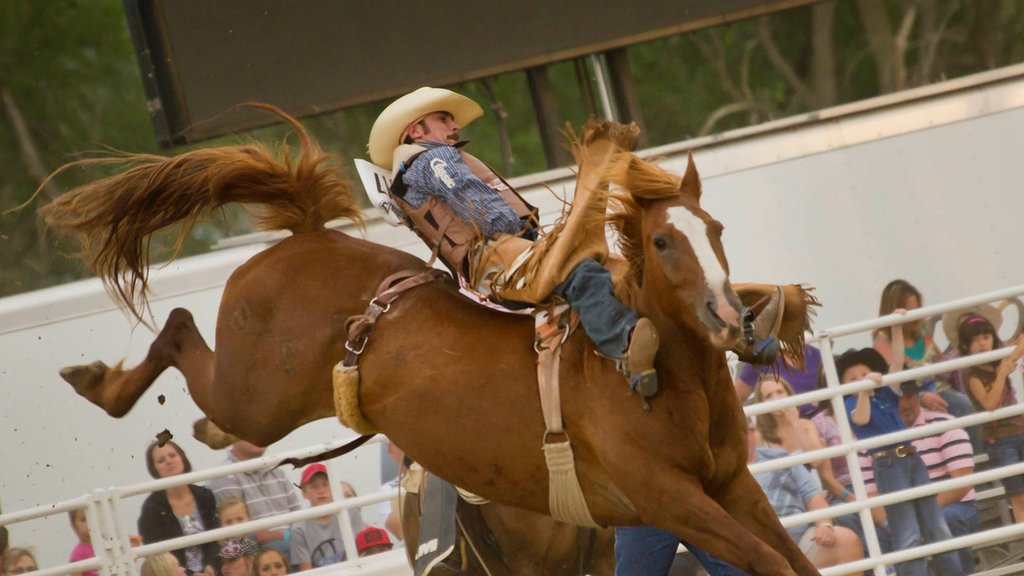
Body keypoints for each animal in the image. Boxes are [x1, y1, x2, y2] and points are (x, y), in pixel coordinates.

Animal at [41, 113, 815, 573]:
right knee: (180, 334)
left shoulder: (731, 485)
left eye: (714, 230)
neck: (660, 381)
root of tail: (304, 235)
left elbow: (792, 560)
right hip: (257, 396)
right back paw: (99, 382)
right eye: (661, 241)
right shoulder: (668, 499)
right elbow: (774, 563)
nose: (730, 318)